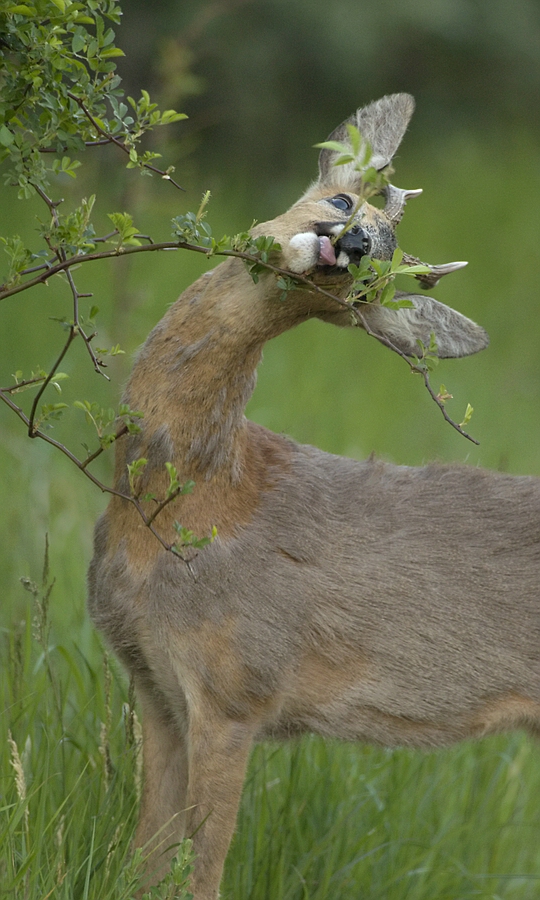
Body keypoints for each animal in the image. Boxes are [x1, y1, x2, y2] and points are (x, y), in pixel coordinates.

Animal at [88, 95, 540, 896]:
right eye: (342, 200)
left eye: (378, 279)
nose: (354, 243)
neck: (195, 503)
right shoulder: (155, 686)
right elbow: (144, 862)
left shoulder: (237, 688)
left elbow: (201, 871)